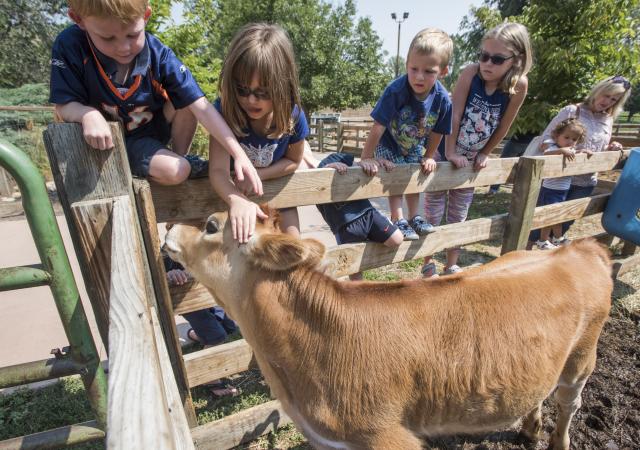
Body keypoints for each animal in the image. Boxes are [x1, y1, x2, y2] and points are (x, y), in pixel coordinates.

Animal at [164, 212, 608, 450]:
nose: (168, 228)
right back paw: (530, 427)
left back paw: (559, 440)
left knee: (569, 403)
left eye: (210, 224)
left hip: (582, 359)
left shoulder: (388, 436)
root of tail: (580, 247)